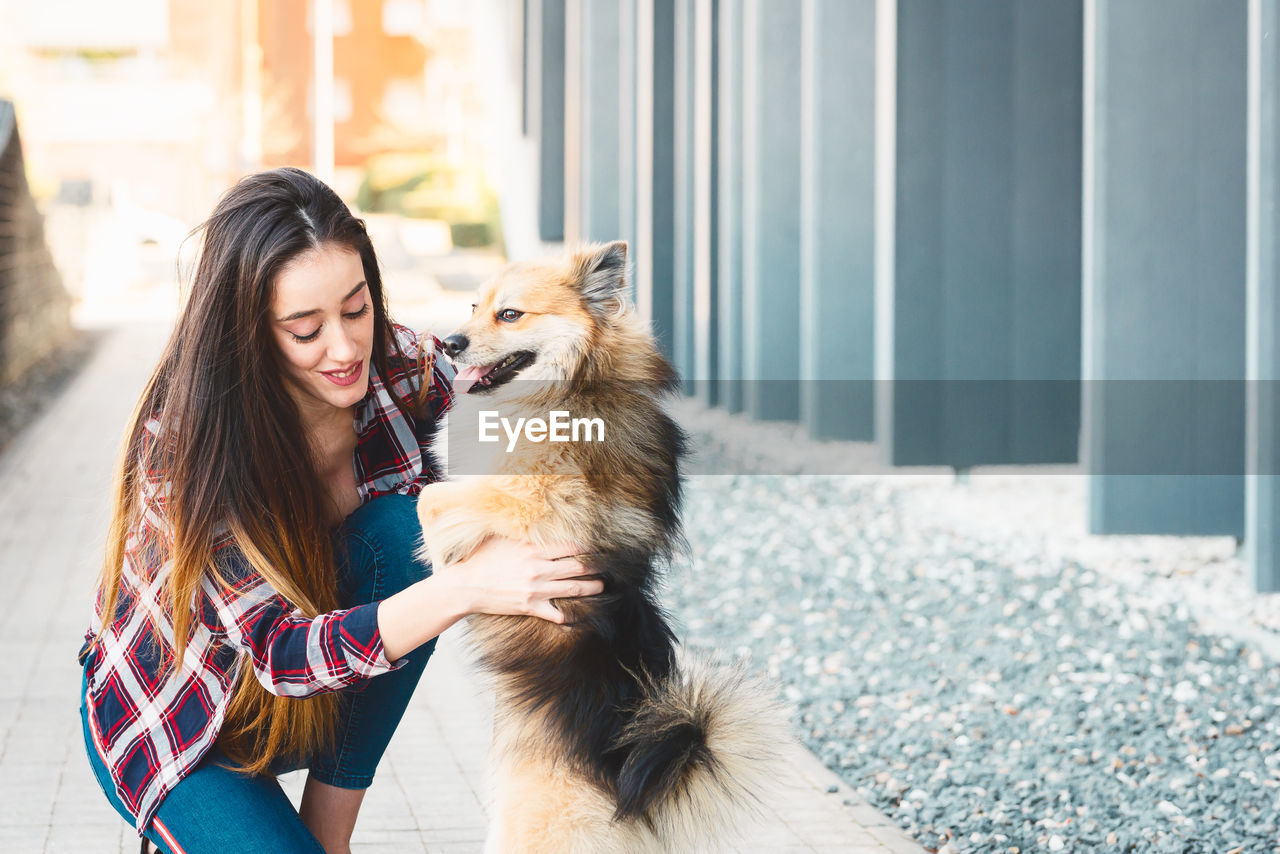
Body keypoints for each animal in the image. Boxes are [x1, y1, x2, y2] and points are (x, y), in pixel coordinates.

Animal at [414, 240, 783, 854]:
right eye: (472, 305)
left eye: (509, 314)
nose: (450, 343)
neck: (573, 384)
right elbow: (432, 493)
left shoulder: (546, 500)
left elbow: (432, 499)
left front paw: (448, 561)